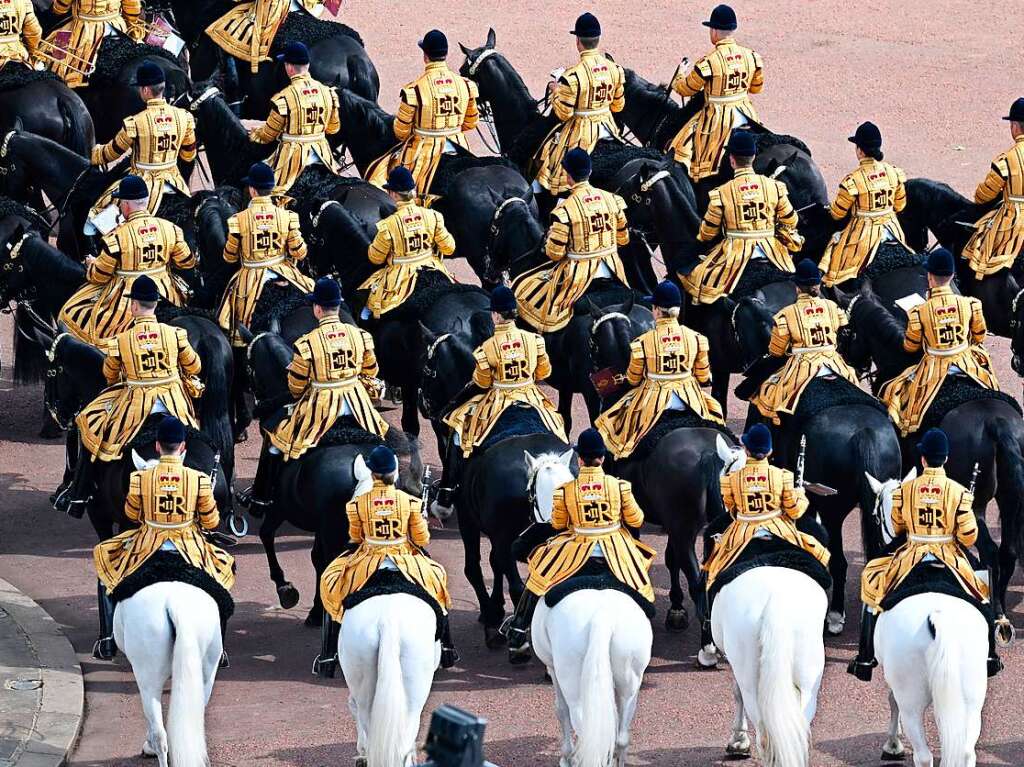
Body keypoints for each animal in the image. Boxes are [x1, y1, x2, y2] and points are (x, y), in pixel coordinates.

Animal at [243, 329, 419, 622]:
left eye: (248, 367)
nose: (255, 408)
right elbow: (316, 558)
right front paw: (315, 606)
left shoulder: (280, 508)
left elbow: (268, 536)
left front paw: (287, 589)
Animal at [712, 565, 831, 761]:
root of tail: (778, 605)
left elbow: (737, 693)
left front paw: (738, 741)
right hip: (809, 681)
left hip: (750, 681)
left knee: (763, 735)